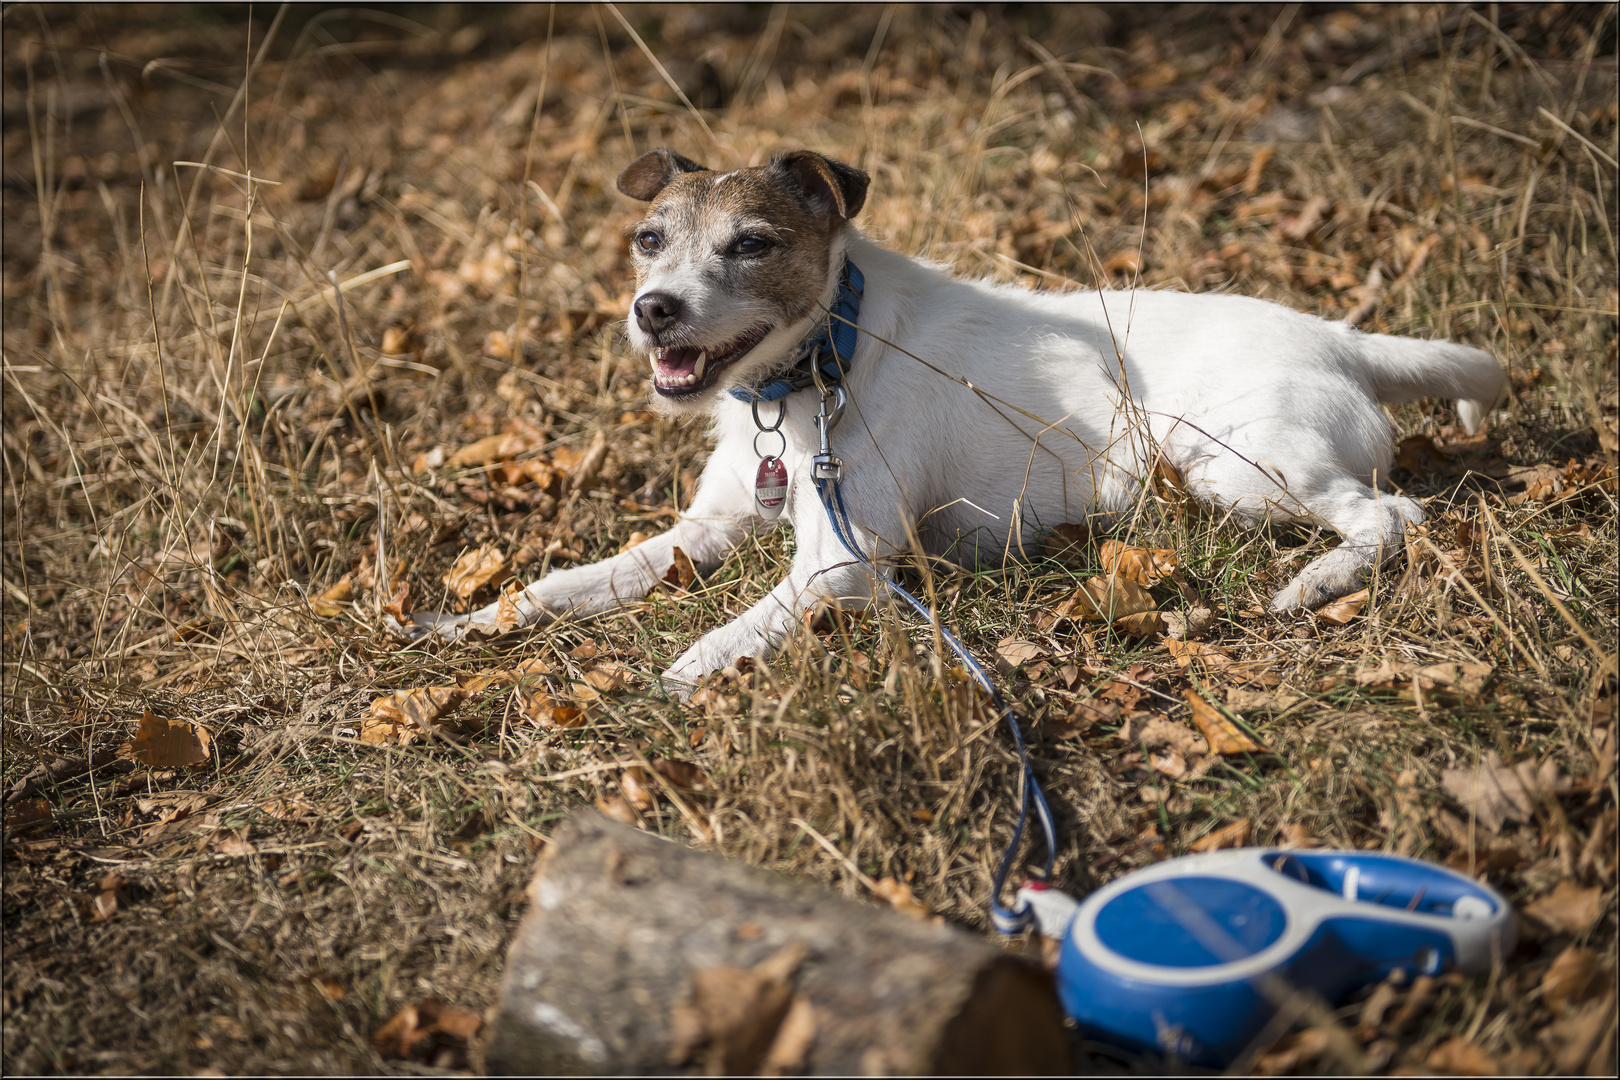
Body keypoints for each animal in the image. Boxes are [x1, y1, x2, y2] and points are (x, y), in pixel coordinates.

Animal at [401, 148, 1503, 693]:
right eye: (648, 238)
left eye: (752, 244)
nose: (653, 309)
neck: (820, 365)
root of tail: (1343, 340)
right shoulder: (704, 529)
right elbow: (570, 585)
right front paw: (480, 619)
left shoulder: (841, 563)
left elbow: (745, 619)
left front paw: (694, 667)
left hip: (1235, 461)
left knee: (1392, 516)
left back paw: (1316, 581)